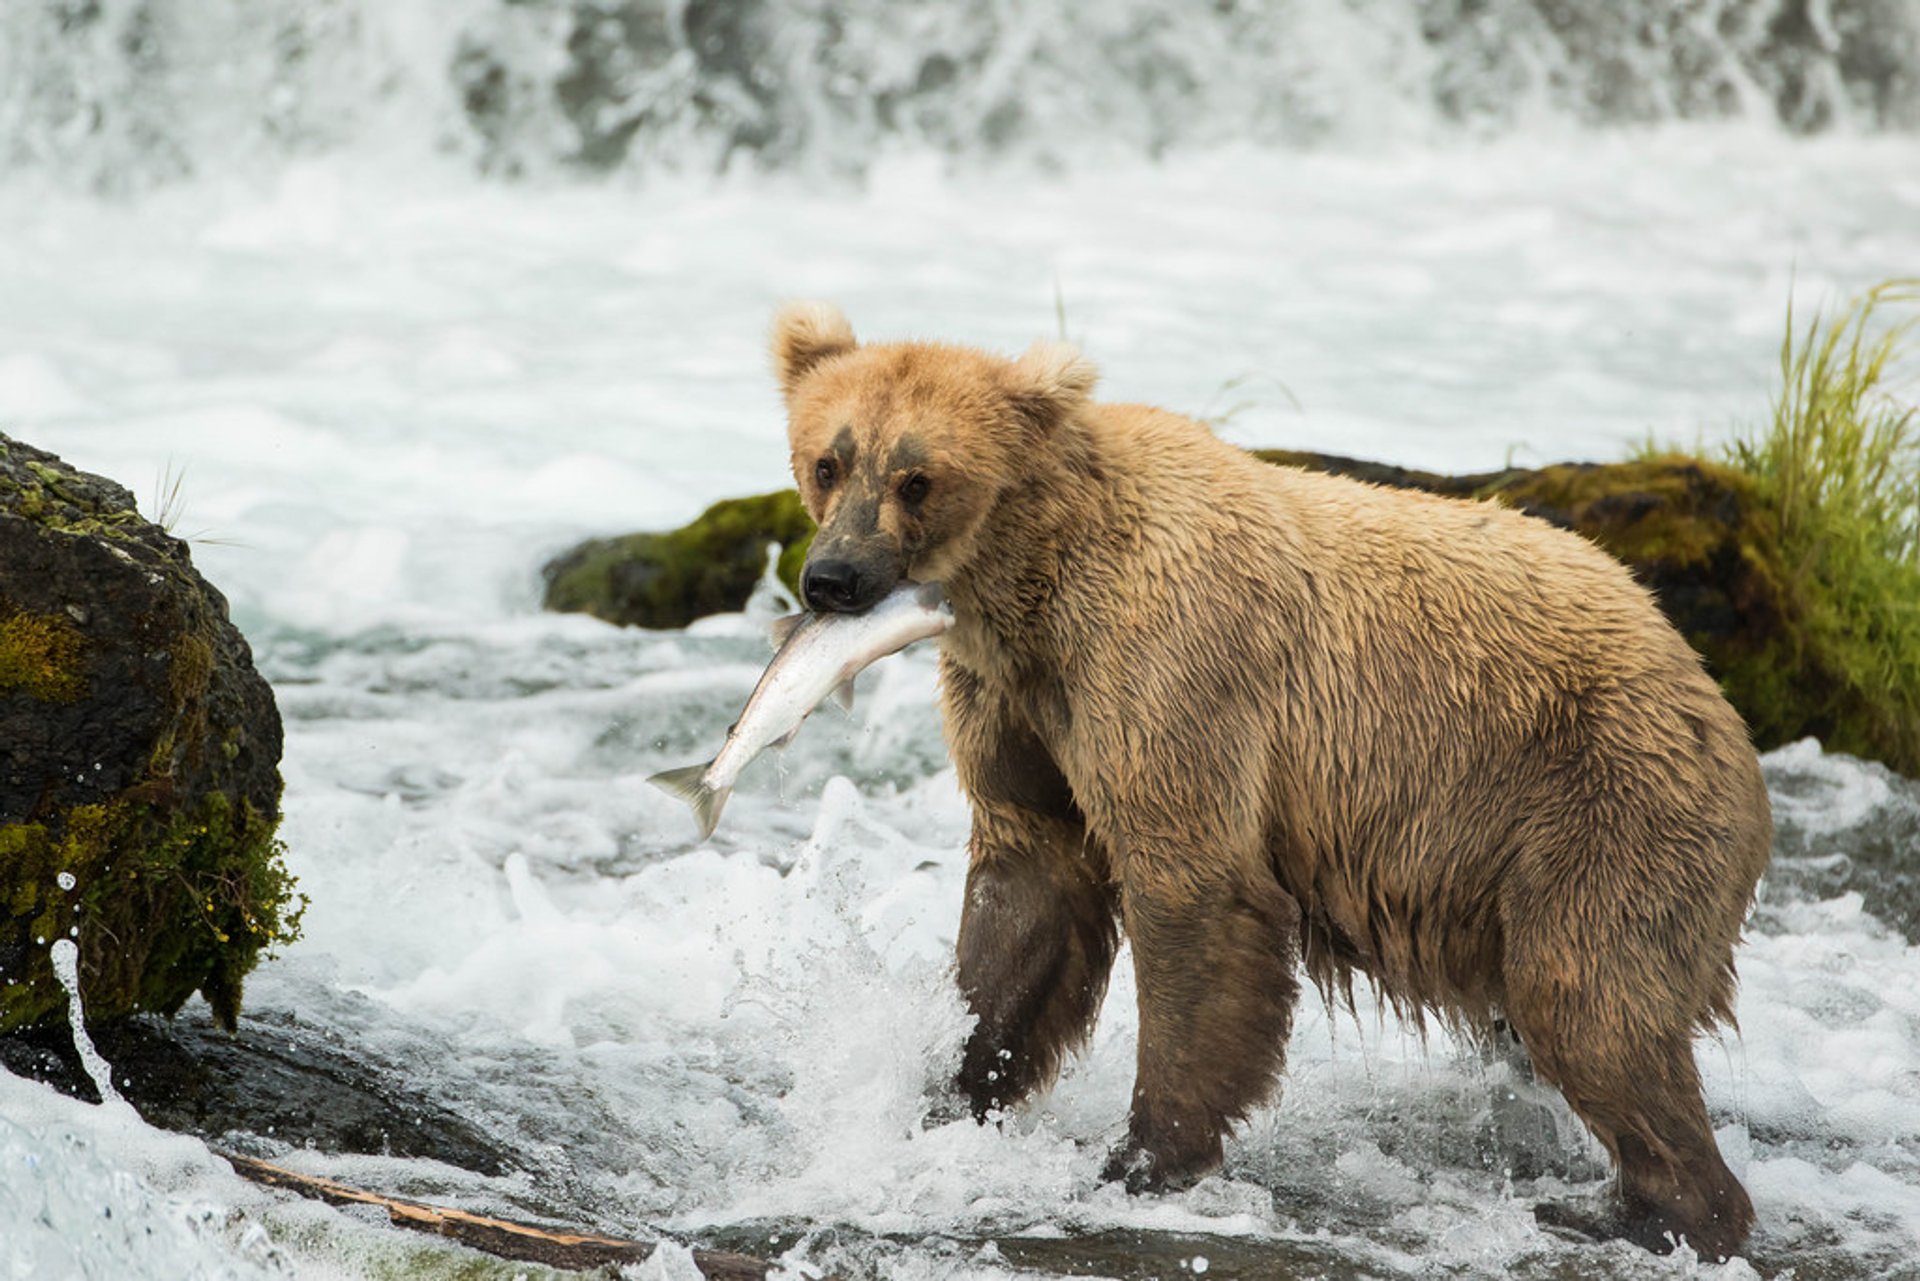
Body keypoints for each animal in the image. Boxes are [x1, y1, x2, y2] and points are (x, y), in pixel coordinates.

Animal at [764, 301, 1766, 1259]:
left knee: (1588, 996)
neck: (1033, 582)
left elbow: (1191, 890)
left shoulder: (1167, 666)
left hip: (1602, 798)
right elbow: (1028, 894)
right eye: (828, 461)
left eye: (917, 477)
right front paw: (948, 1093)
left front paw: (1145, 1154)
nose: (832, 577)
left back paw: (1649, 1211)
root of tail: (1713, 692)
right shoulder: (1020, 707)